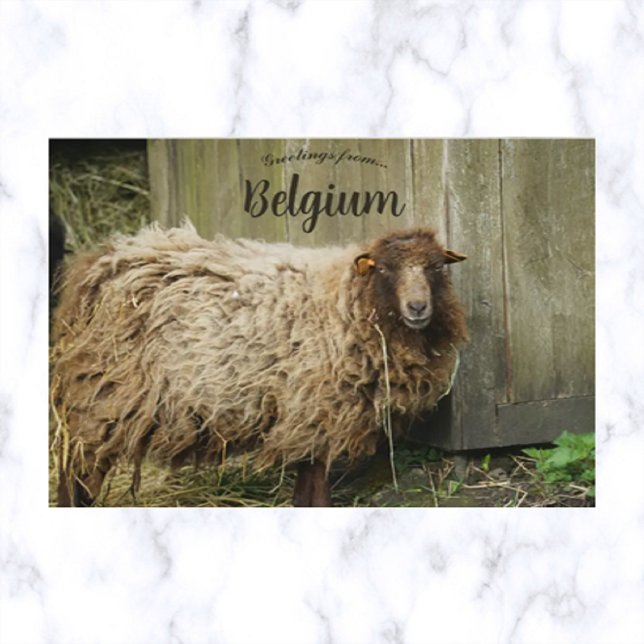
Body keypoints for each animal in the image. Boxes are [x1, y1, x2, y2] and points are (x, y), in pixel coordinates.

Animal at [51, 222, 468, 507]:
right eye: (384, 269)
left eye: (436, 268)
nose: (418, 307)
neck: (344, 302)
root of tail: (101, 262)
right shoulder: (315, 410)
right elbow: (315, 479)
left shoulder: (314, 416)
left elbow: (310, 476)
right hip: (105, 395)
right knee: (77, 466)